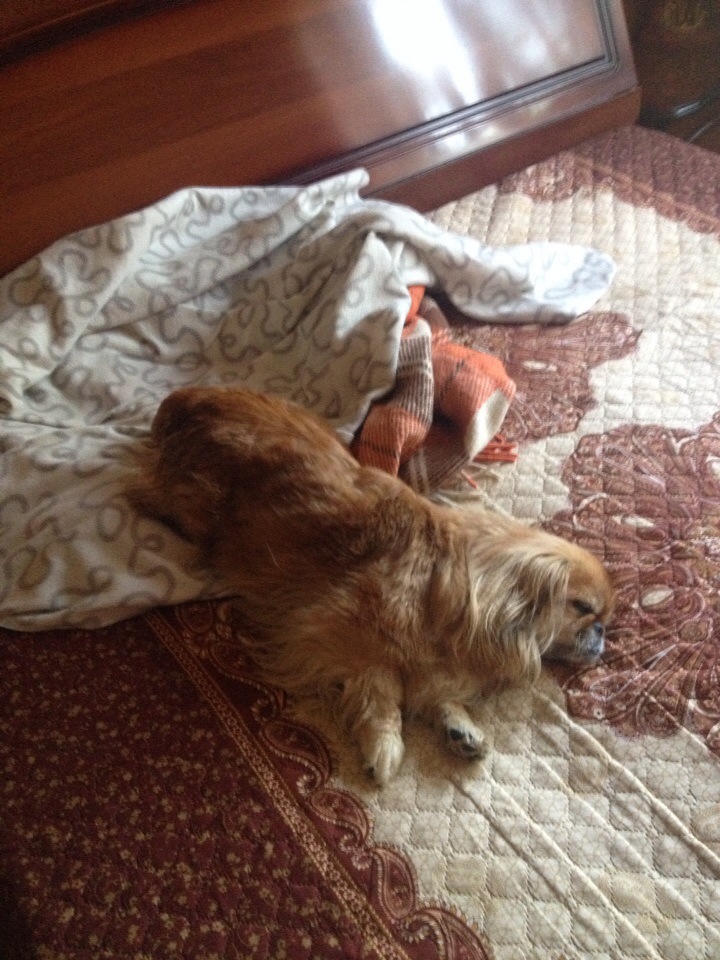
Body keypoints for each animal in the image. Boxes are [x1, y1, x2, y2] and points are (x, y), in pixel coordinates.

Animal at [132, 386, 615, 784]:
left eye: (602, 617)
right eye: (583, 608)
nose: (602, 633)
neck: (437, 583)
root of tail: (186, 400)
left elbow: (433, 693)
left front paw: (459, 726)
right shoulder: (349, 638)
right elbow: (383, 697)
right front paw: (384, 746)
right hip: (198, 508)